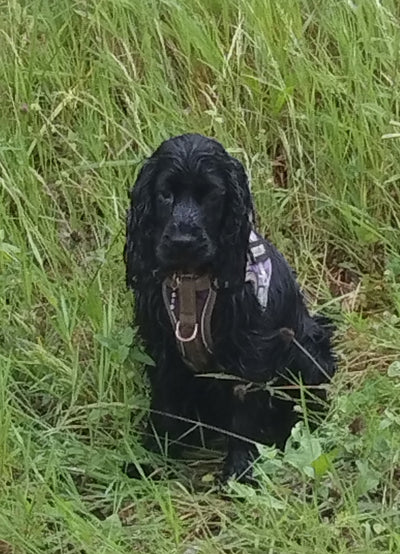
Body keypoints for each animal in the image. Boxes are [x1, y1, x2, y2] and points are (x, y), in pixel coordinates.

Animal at [125, 133, 338, 478]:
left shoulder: (252, 351)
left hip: (306, 351)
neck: (191, 280)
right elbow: (165, 406)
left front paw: (241, 469)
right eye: (165, 193)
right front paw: (153, 457)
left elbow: (244, 413)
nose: (183, 241)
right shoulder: (163, 349)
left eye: (212, 194)